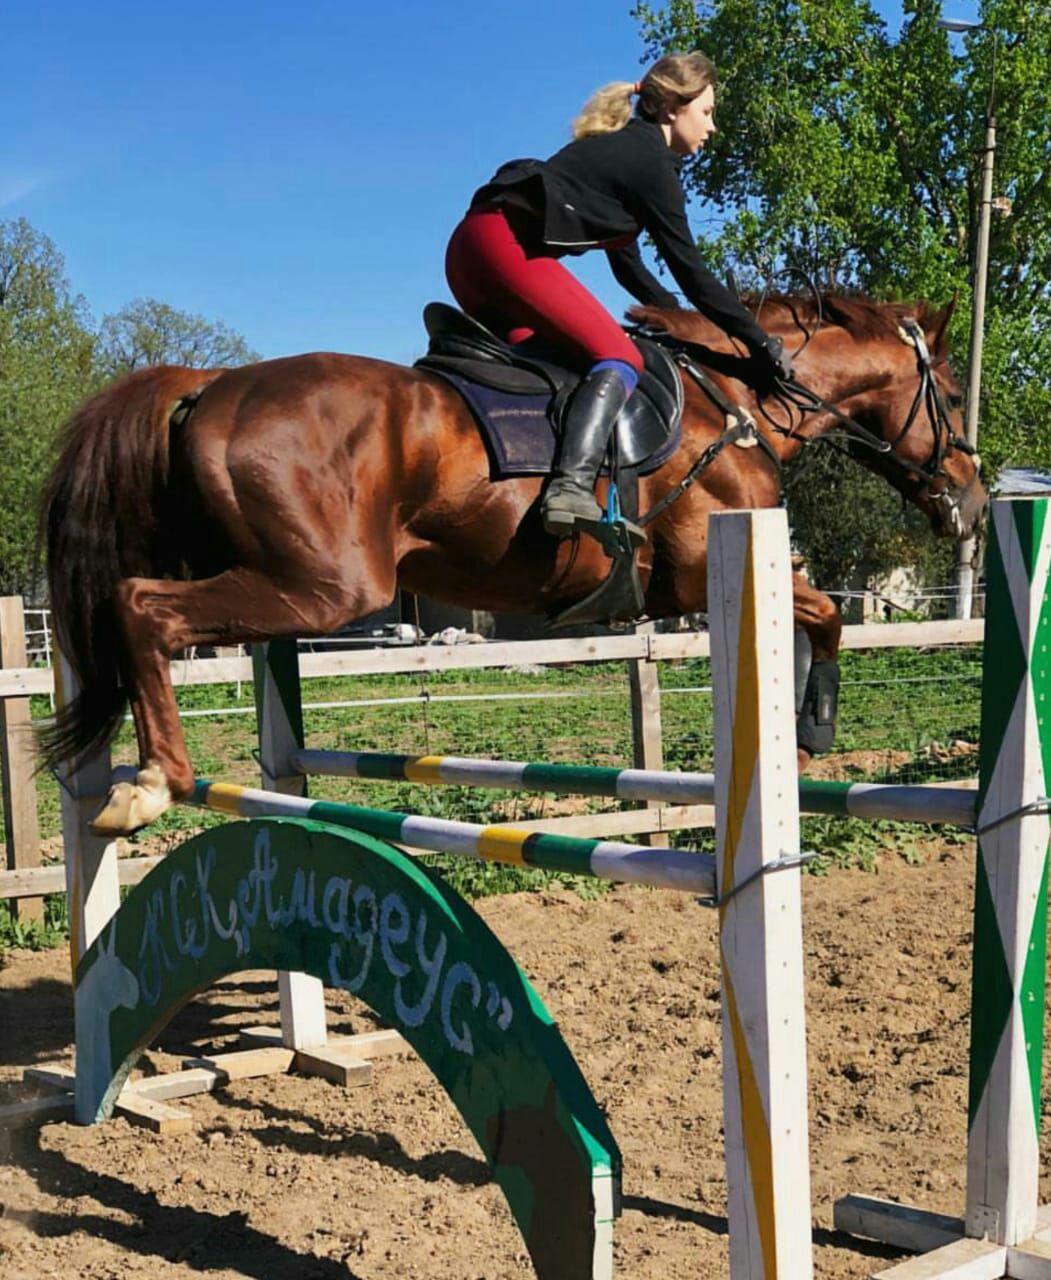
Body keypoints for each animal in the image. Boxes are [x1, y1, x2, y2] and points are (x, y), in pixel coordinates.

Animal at [40, 291, 983, 834]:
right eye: (950, 394)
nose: (974, 503)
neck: (735, 403)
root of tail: (209, 384)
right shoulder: (702, 573)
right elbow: (823, 613)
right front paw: (812, 729)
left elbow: (819, 611)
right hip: (325, 590)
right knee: (140, 607)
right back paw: (155, 781)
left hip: (272, 579)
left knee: (121, 614)